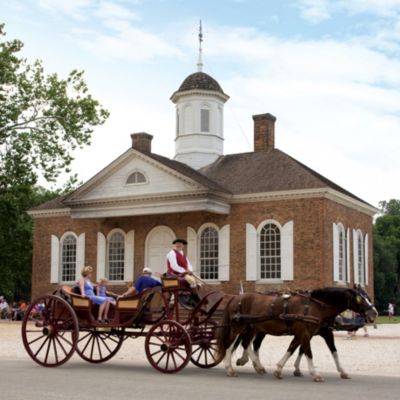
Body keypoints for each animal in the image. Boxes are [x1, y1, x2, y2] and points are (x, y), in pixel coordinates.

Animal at [216, 288, 378, 382]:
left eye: (368, 297)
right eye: (361, 299)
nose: (374, 313)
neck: (315, 306)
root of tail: (236, 297)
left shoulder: (319, 333)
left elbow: (297, 349)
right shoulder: (305, 333)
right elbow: (308, 352)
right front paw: (315, 374)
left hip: (251, 328)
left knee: (245, 343)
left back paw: (256, 365)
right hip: (238, 327)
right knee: (230, 345)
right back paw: (230, 368)